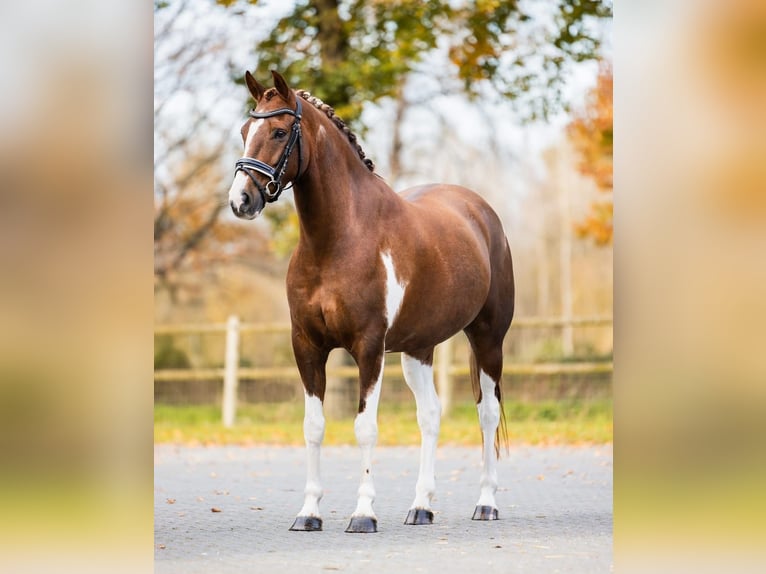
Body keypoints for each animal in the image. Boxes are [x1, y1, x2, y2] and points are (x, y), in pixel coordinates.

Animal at [228, 72, 516, 536]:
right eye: (243, 131)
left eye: (278, 132)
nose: (241, 201)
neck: (338, 239)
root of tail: (480, 212)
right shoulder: (306, 346)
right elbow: (313, 427)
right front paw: (308, 513)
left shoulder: (368, 347)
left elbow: (365, 428)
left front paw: (363, 513)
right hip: (418, 349)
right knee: (430, 415)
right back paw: (421, 507)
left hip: (488, 339)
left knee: (487, 412)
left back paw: (486, 503)